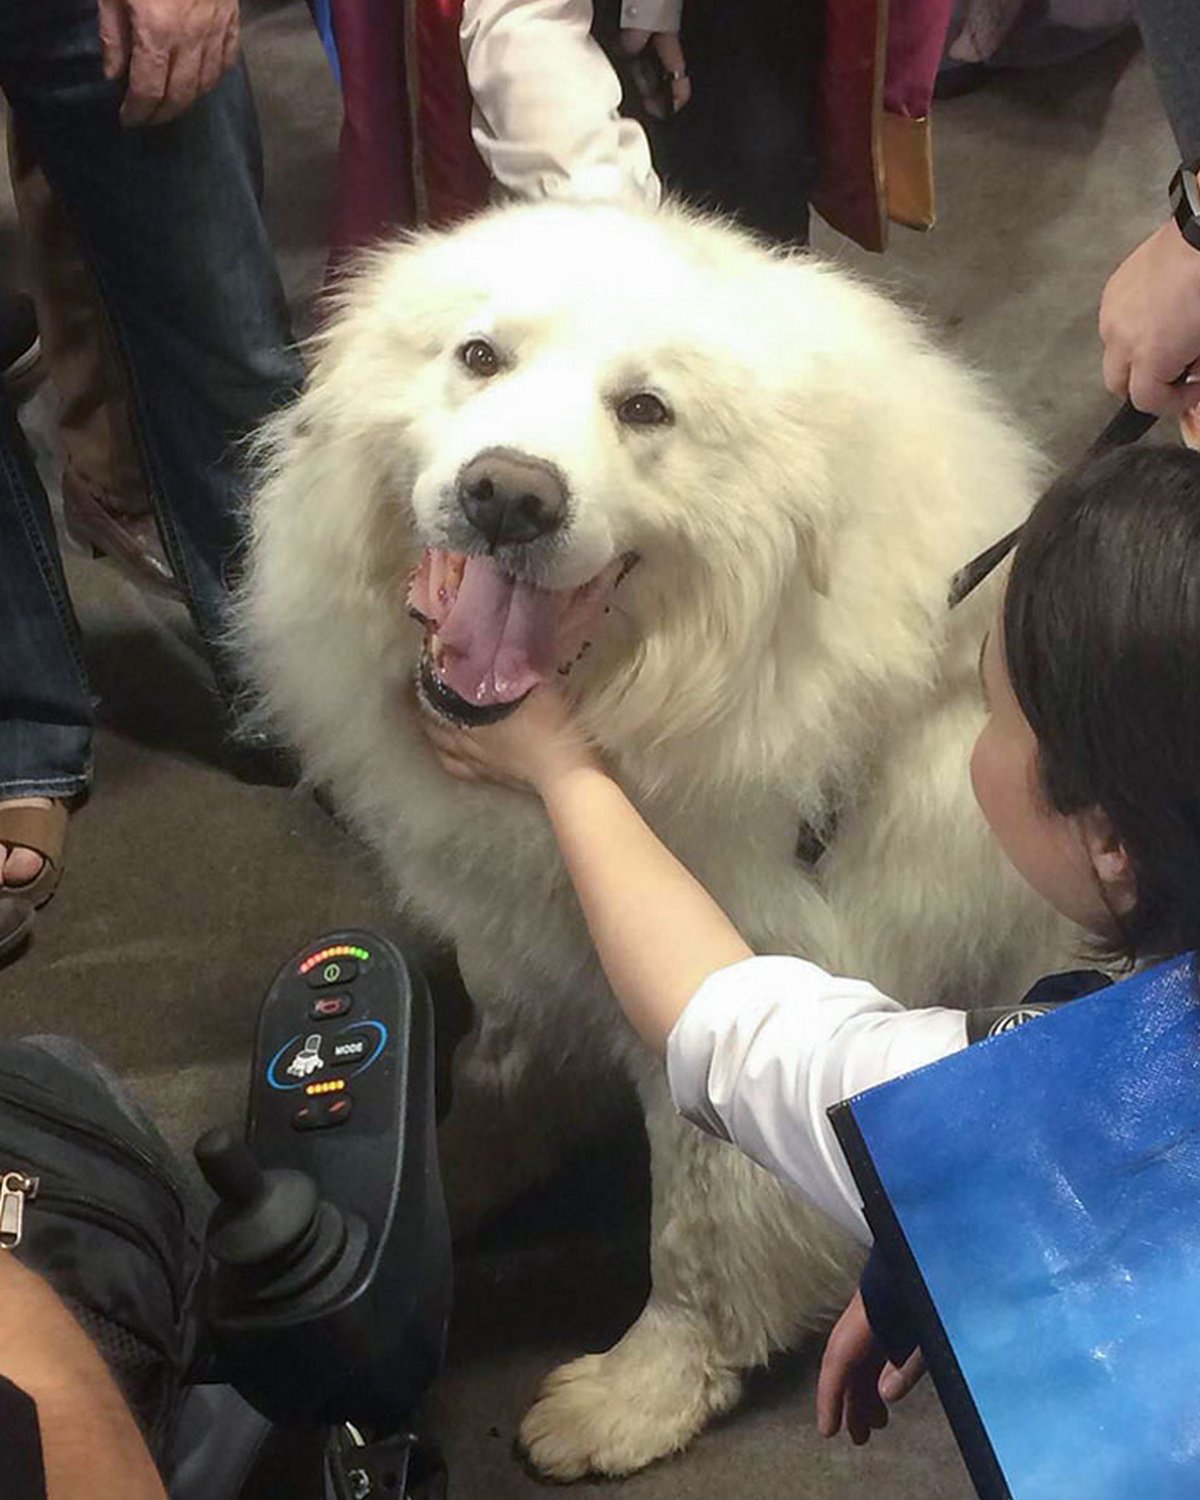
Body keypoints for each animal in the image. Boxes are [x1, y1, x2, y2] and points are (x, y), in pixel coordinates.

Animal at [238, 199, 1062, 1476]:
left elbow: (705, 1232)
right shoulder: (537, 931)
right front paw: (426, 1171)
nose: (509, 494)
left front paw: (640, 1396)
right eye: (480, 357)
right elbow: (500, 1063)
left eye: (645, 410)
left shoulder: (758, 976)